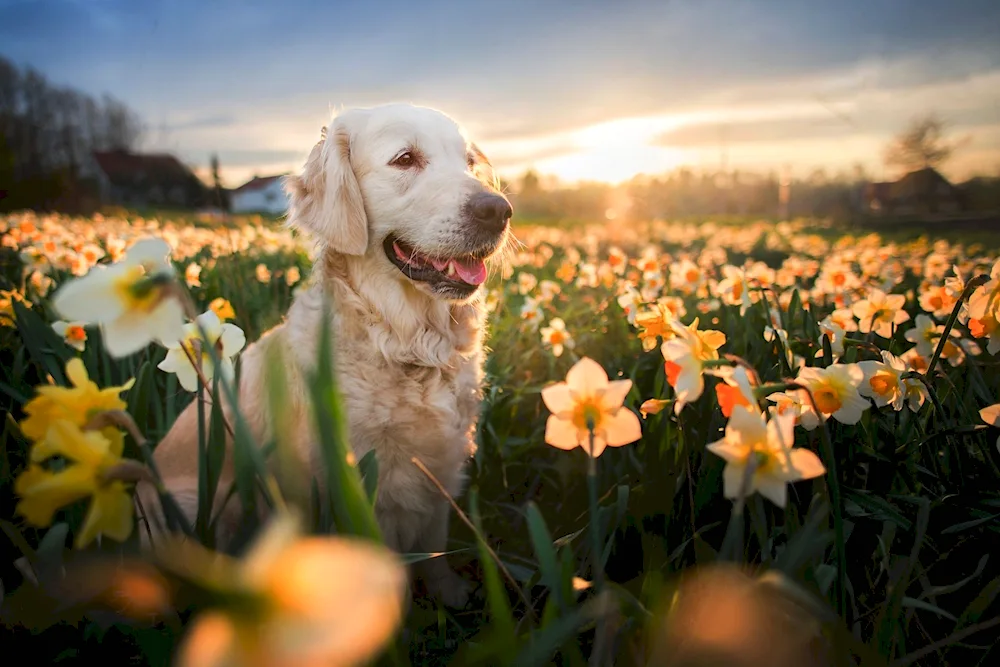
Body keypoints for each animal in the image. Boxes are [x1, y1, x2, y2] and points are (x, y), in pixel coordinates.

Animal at [140, 102, 512, 608]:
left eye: (470, 163)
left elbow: (435, 546)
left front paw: (449, 593)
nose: (499, 211)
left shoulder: (443, 463)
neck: (405, 344)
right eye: (405, 159)